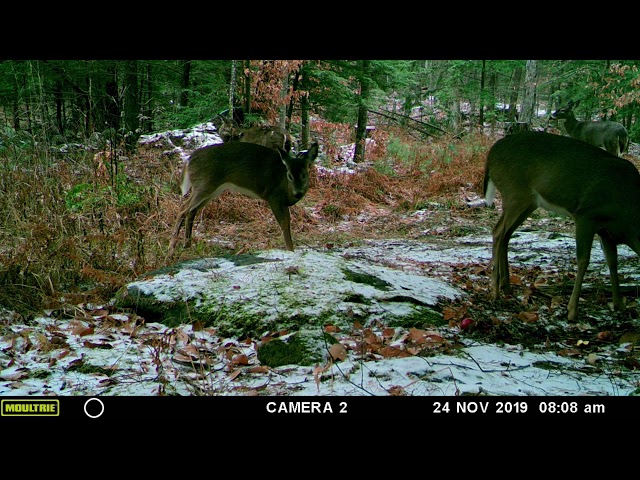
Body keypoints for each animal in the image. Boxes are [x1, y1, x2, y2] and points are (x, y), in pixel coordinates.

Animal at [170, 140, 320, 253]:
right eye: (289, 175)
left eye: (304, 175)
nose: (298, 193)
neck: (285, 187)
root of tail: (189, 159)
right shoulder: (273, 196)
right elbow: (283, 223)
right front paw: (290, 250)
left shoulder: (284, 203)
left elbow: (288, 223)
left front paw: (292, 249)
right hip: (203, 185)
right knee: (183, 208)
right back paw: (172, 246)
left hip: (213, 190)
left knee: (192, 210)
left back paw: (187, 244)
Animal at [482, 130, 640, 322]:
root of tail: (491, 155)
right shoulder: (586, 215)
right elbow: (583, 259)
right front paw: (572, 310)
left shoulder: (606, 231)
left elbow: (612, 261)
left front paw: (619, 304)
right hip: (514, 193)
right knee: (498, 231)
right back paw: (494, 291)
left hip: (528, 202)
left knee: (506, 234)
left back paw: (507, 287)